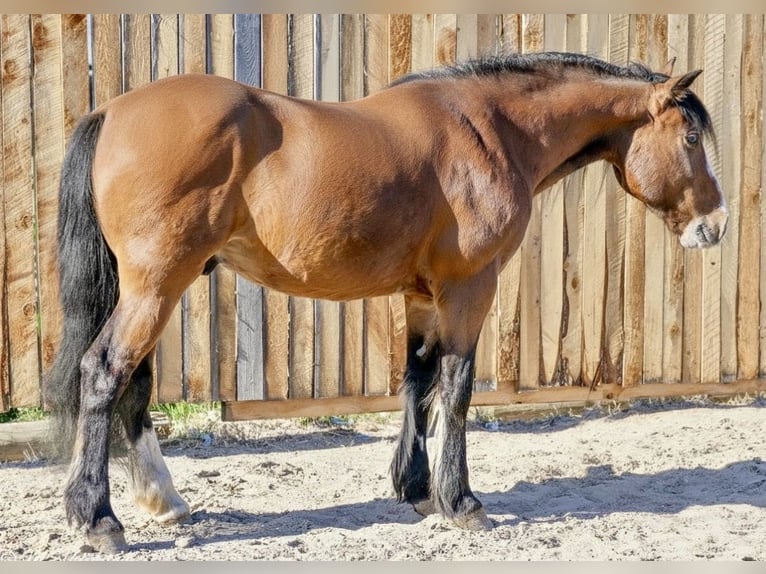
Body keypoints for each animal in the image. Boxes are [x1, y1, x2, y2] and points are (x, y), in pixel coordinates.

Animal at [45, 51, 727, 552]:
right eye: (691, 135)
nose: (715, 225)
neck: (491, 133)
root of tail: (111, 110)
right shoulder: (469, 287)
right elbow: (456, 387)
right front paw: (463, 502)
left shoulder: (422, 295)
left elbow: (417, 381)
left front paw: (417, 489)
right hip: (157, 286)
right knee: (104, 374)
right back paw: (99, 520)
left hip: (150, 288)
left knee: (132, 385)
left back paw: (161, 500)